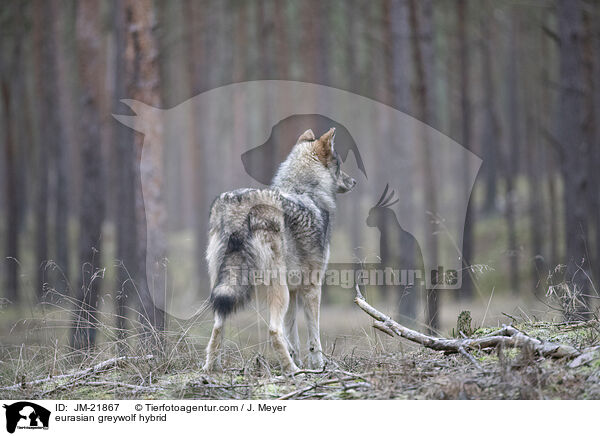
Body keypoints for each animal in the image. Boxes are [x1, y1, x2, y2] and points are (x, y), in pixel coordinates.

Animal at [204, 127, 356, 372]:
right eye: (339, 165)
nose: (354, 181)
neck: (304, 191)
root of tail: (239, 207)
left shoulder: (294, 291)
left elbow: (292, 334)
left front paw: (298, 358)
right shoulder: (312, 287)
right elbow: (313, 337)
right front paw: (317, 366)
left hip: (224, 288)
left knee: (218, 327)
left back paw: (211, 369)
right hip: (279, 291)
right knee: (274, 331)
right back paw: (293, 371)